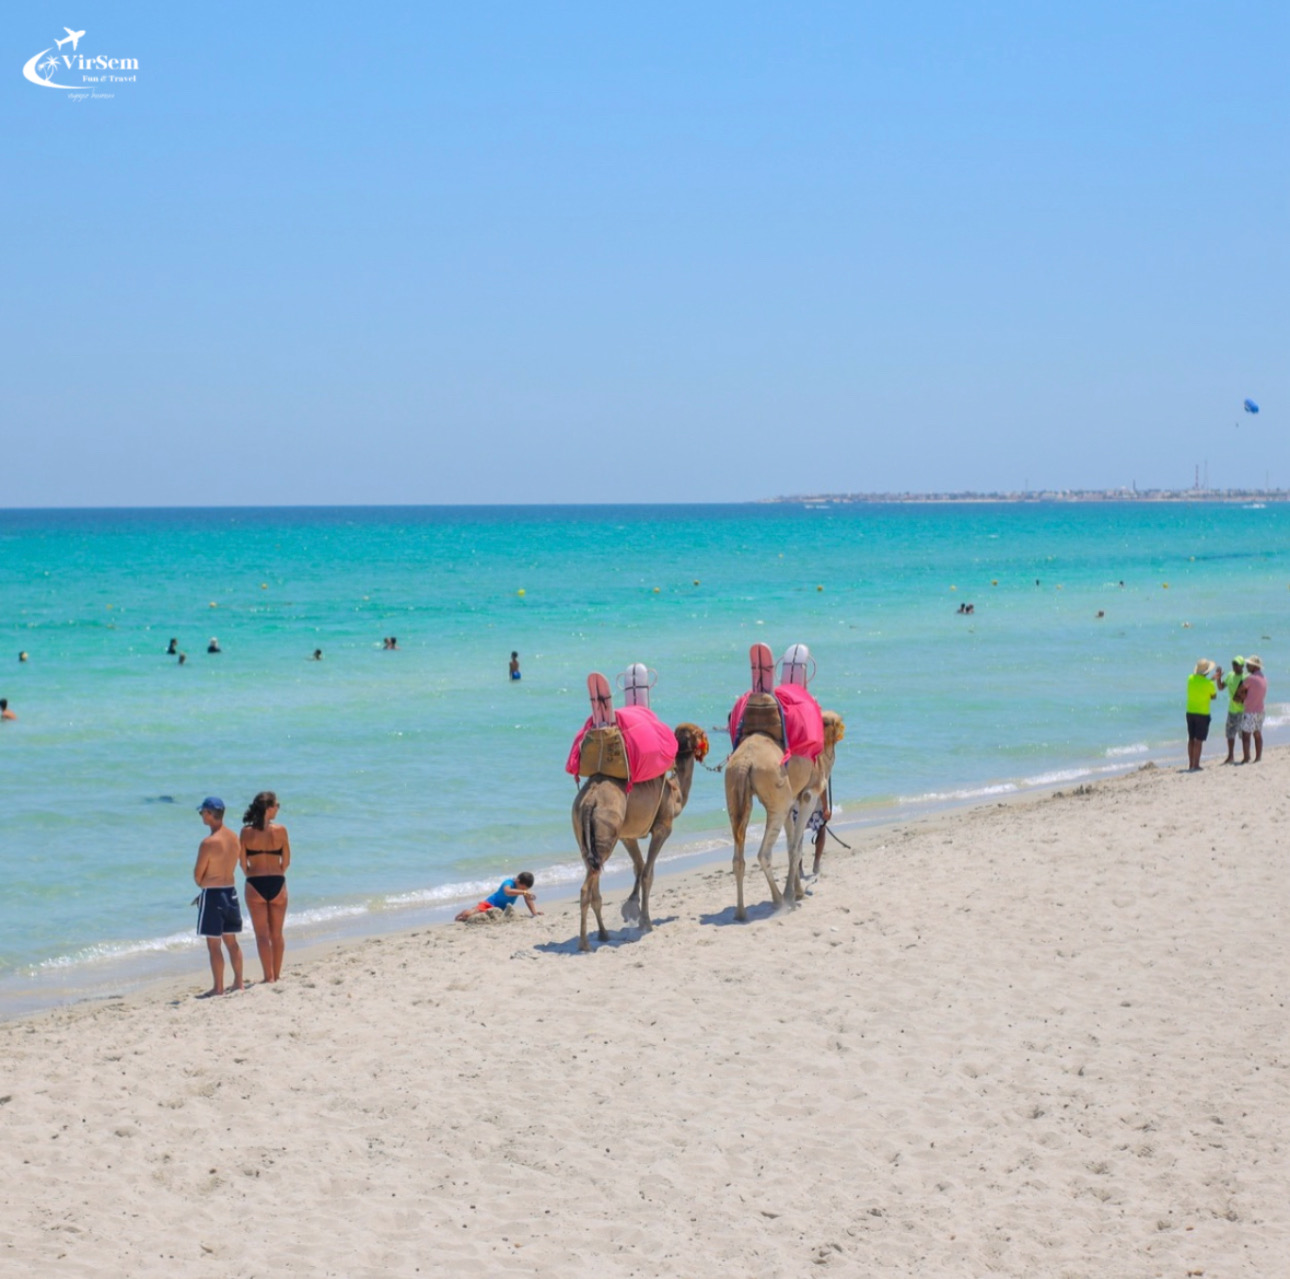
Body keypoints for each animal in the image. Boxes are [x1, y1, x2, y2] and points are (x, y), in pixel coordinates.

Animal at [572, 723, 706, 952]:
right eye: (701, 734)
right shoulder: (662, 828)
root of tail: (590, 799)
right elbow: (647, 874)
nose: (707, 747)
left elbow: (639, 867)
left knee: (594, 884)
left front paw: (631, 908)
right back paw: (584, 944)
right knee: (585, 889)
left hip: (584, 836)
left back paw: (604, 934)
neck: (675, 793)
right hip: (605, 834)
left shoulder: (627, 835)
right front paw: (646, 922)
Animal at [724, 710, 844, 920]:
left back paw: (740, 912)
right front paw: (793, 894)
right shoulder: (808, 796)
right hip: (775, 792)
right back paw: (779, 899)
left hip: (733, 789)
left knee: (738, 856)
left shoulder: (791, 804)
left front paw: (798, 891)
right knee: (763, 853)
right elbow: (796, 848)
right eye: (836, 724)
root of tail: (746, 761)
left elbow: (790, 846)